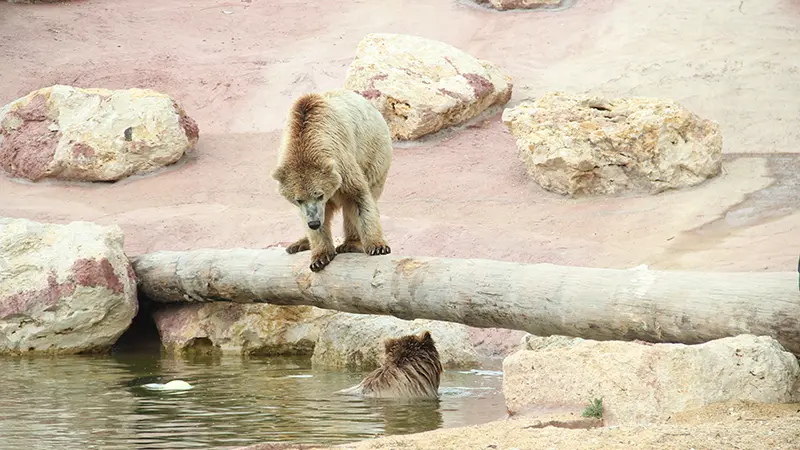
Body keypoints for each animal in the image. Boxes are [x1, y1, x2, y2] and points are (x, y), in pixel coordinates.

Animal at [270, 88, 392, 270]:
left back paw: (350, 243)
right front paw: (319, 258)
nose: (314, 223)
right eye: (298, 199)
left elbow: (357, 197)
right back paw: (299, 243)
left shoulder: (343, 162)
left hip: (374, 154)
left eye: (319, 194)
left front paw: (378, 246)